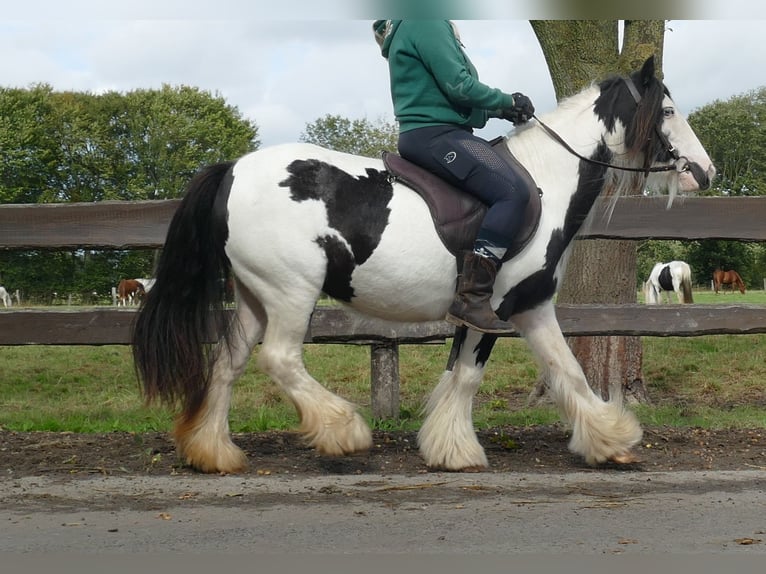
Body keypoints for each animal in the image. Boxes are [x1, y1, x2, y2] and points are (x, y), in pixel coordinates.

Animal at [134, 55, 720, 476]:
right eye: (668, 111)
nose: (705, 172)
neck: (546, 181)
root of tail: (233, 170)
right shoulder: (498, 306)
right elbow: (474, 375)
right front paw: (458, 451)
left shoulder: (527, 307)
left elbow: (563, 370)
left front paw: (609, 441)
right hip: (290, 291)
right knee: (279, 359)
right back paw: (343, 431)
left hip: (255, 295)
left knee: (226, 363)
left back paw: (213, 453)